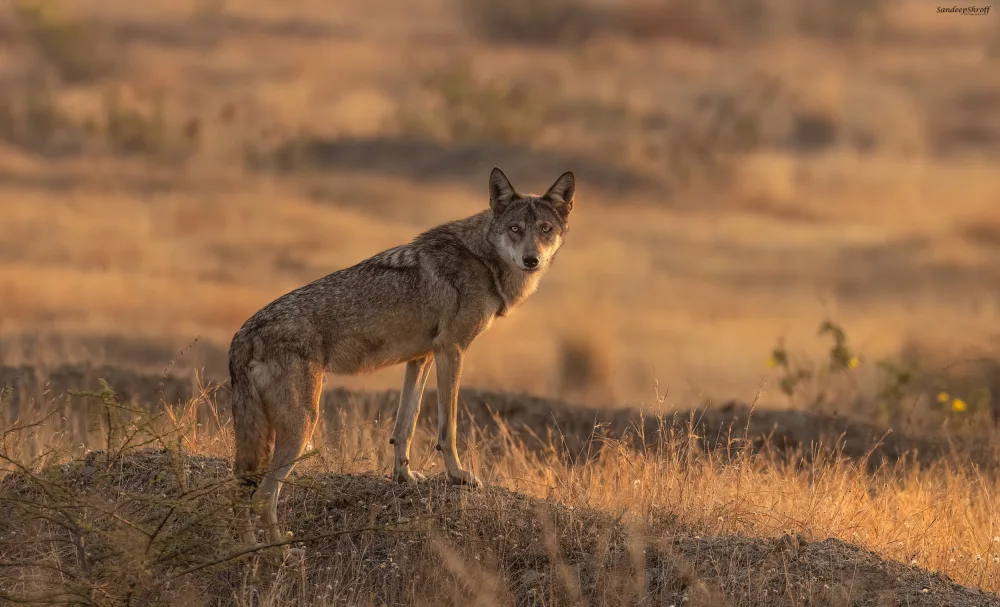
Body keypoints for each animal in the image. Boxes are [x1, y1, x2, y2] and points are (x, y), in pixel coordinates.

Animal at [228, 167, 576, 545]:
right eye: (515, 229)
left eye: (545, 229)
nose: (532, 260)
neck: (483, 259)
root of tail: (242, 333)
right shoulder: (452, 350)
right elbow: (448, 427)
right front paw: (458, 475)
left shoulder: (422, 357)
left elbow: (404, 425)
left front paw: (404, 477)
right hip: (304, 423)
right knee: (263, 497)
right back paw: (278, 552)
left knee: (242, 493)